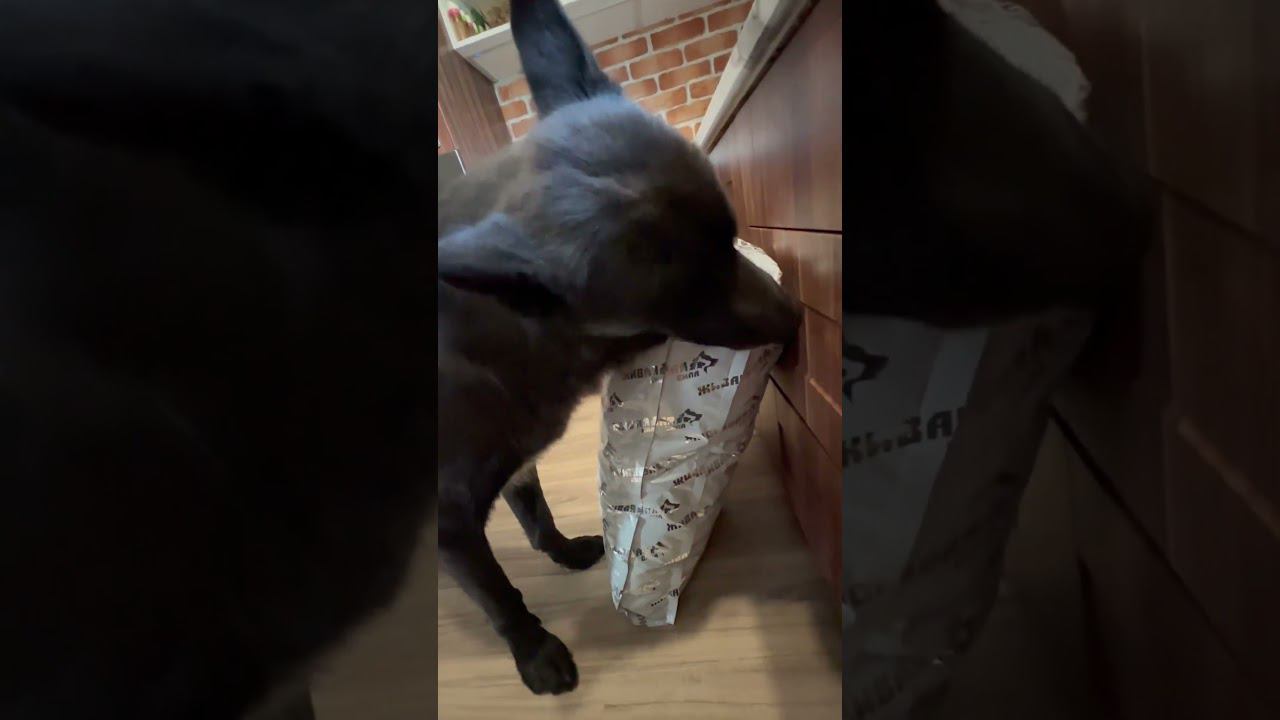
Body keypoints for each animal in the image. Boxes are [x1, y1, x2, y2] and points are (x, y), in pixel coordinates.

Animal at [436, 0, 802, 697]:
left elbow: (535, 516)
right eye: (687, 298)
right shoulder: (451, 522)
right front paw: (535, 650)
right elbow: (499, 595)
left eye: (731, 237)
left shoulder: (518, 464)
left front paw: (561, 551)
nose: (799, 317)